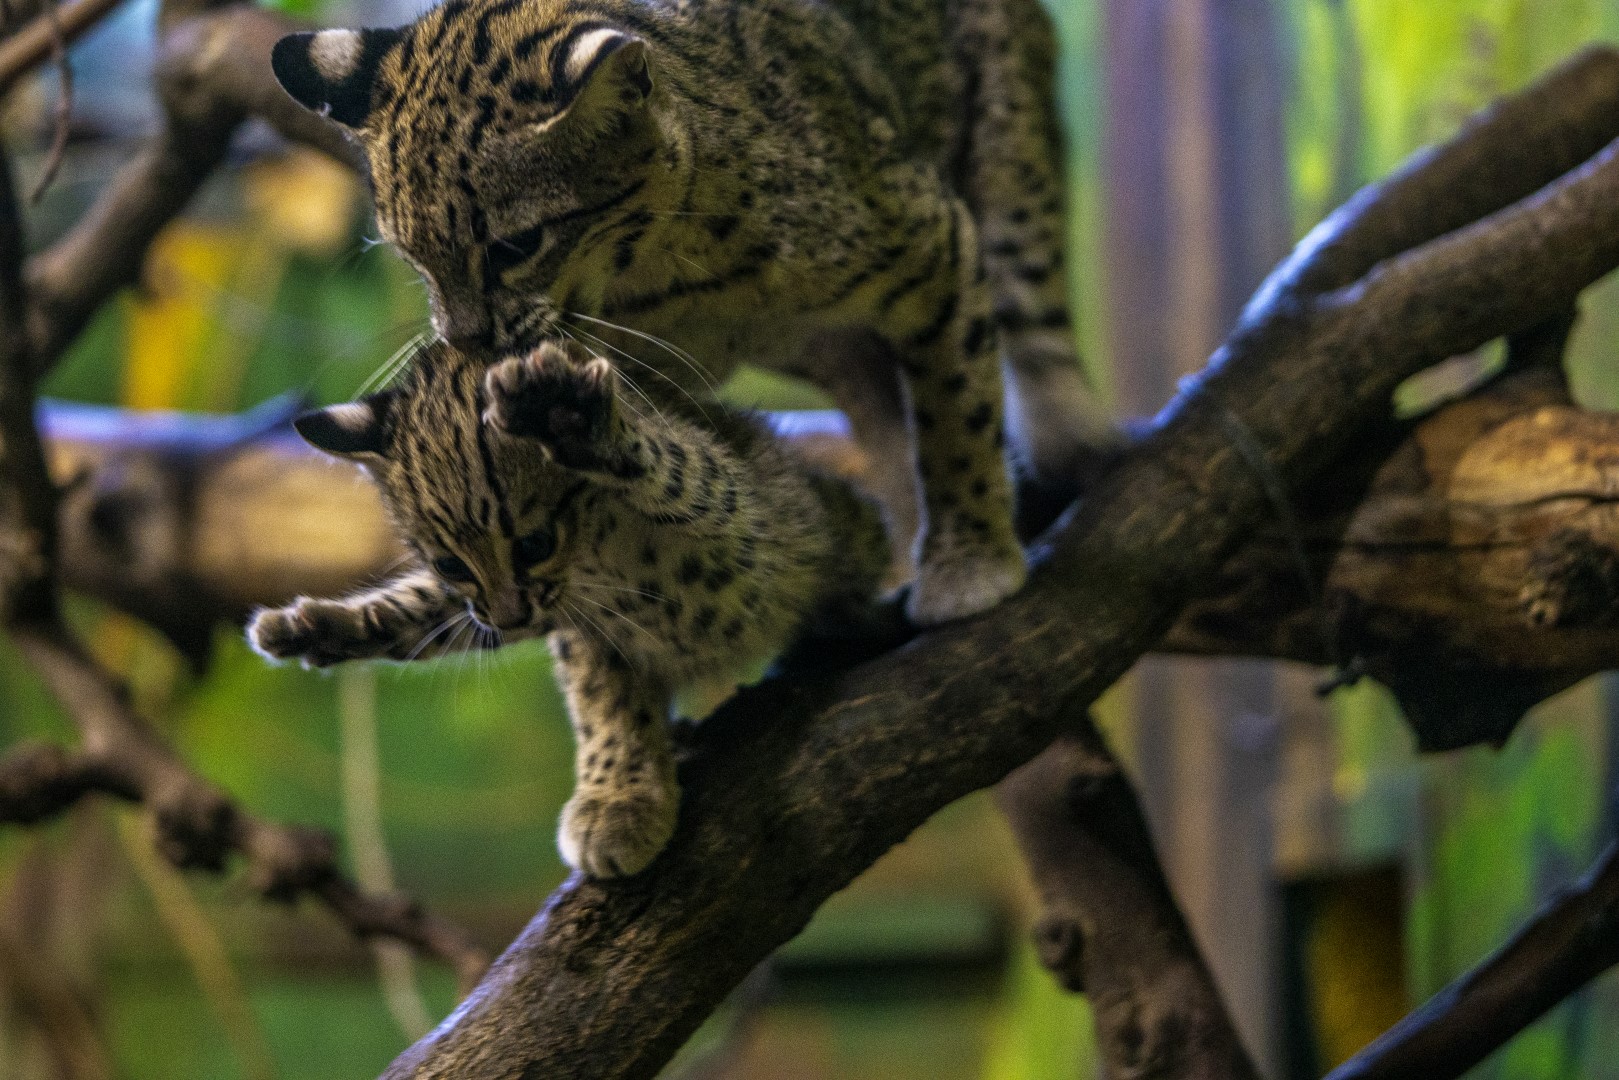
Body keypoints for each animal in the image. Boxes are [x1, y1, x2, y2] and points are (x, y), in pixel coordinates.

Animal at [249, 344, 887, 880]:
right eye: (451, 564)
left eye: (534, 543)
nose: (509, 619)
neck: (597, 558)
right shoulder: (571, 628)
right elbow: (603, 705)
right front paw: (320, 627)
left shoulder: (740, 524)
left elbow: (682, 470)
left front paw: (582, 427)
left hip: (829, 520)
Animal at [271, 0, 1107, 625]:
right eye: (411, 256)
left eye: (515, 246)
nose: (465, 337)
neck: (670, 271)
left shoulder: (932, 235)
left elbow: (955, 409)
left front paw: (970, 563)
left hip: (1008, 146)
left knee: (1031, 304)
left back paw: (1066, 435)